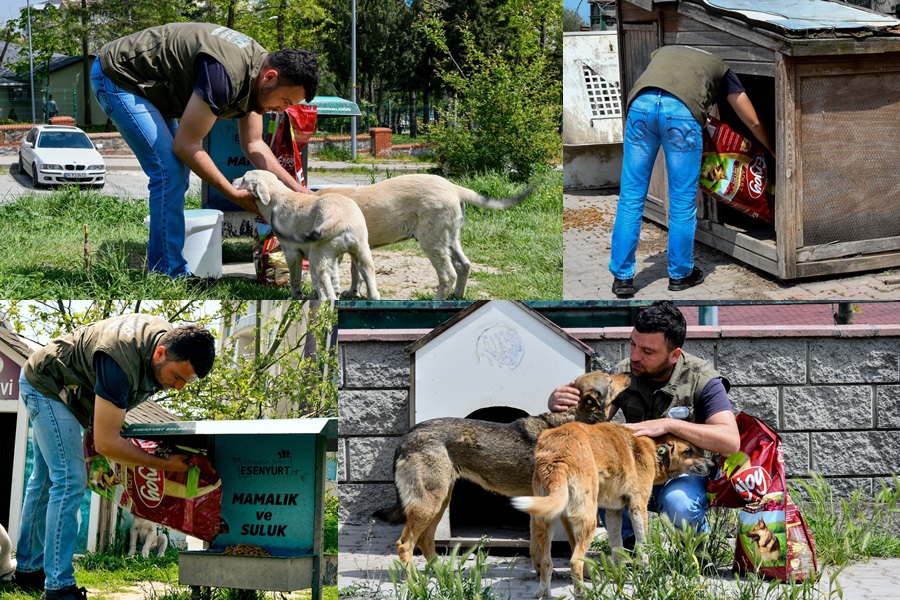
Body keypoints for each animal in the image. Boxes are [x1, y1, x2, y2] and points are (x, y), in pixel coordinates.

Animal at [234, 169, 378, 300]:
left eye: (244, 179)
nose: (232, 180)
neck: (279, 198)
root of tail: (340, 217)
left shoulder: (292, 254)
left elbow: (294, 279)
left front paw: (295, 297)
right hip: (362, 253)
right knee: (372, 288)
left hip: (316, 258)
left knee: (328, 296)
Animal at [314, 173, 532, 300]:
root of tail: (455, 188)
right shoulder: (357, 247)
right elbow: (356, 272)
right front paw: (353, 292)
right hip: (450, 237)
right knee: (464, 265)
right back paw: (457, 296)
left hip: (432, 240)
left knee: (448, 275)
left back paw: (437, 302)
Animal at [370, 372, 628, 564]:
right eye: (610, 379)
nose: (628, 374)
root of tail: (406, 437)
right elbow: (576, 549)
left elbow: (541, 548)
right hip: (428, 504)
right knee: (405, 545)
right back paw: (415, 583)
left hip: (440, 502)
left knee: (425, 541)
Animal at [512, 424, 716, 596]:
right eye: (689, 450)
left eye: (697, 448)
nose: (713, 466)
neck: (652, 447)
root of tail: (559, 456)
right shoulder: (638, 507)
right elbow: (644, 546)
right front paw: (648, 575)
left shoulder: (613, 512)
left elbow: (617, 549)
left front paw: (620, 577)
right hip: (588, 520)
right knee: (575, 562)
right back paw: (581, 594)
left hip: (546, 522)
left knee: (546, 562)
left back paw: (543, 593)